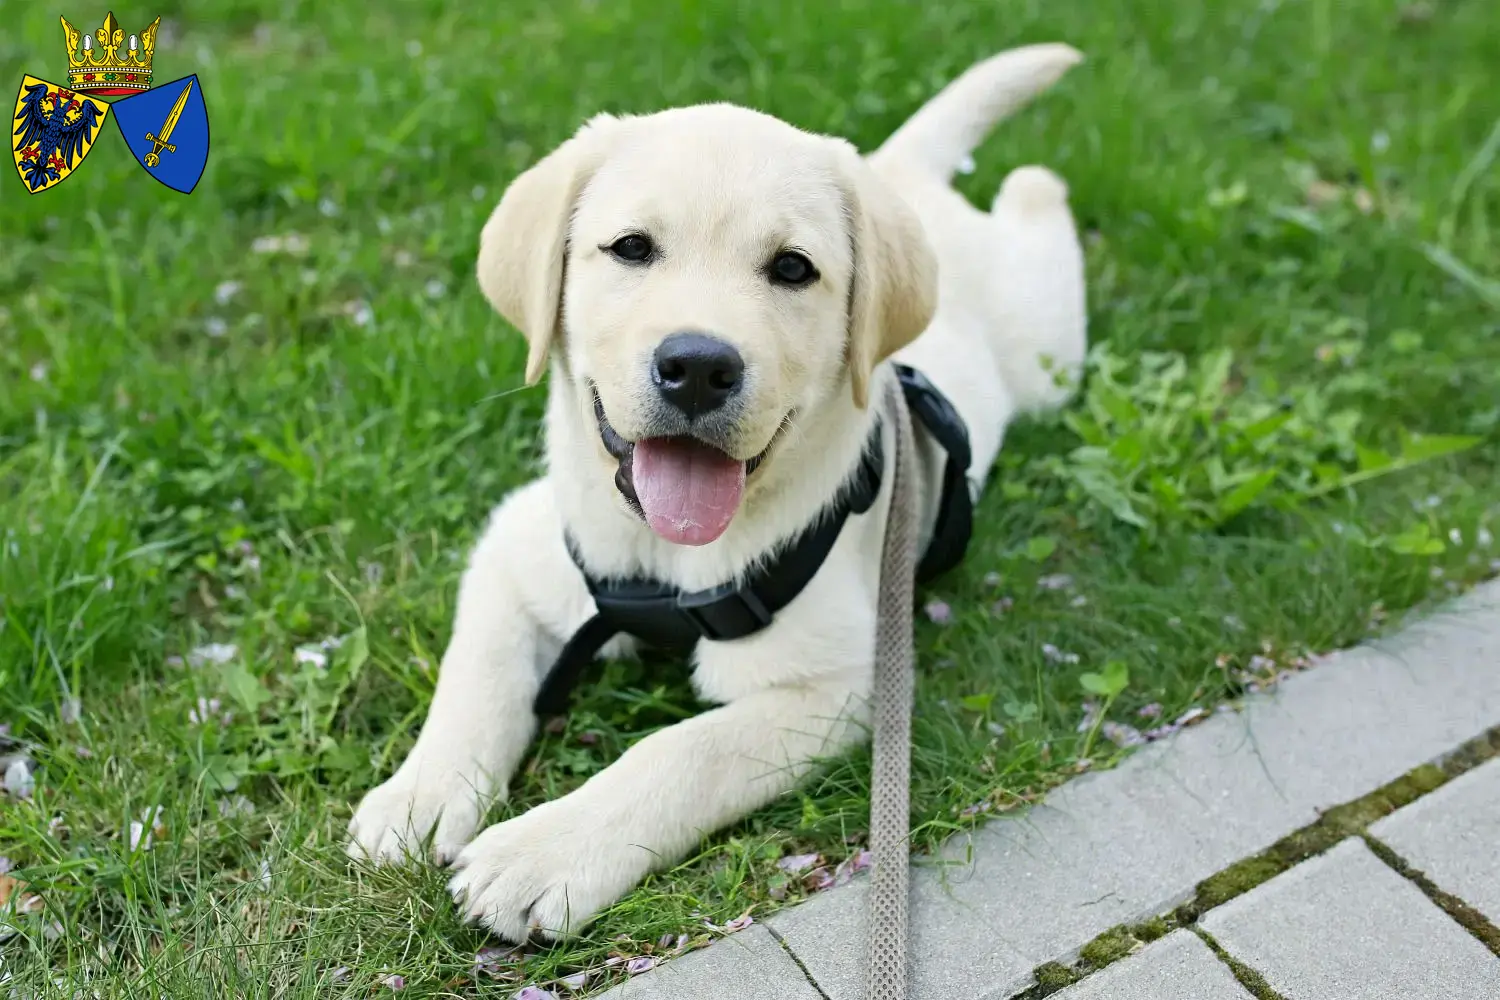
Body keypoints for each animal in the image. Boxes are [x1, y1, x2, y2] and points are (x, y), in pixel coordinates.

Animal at [351, 43, 1092, 941]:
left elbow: (681, 752)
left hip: (1048, 351)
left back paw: (1035, 183)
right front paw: (420, 796)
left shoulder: (835, 685)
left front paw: (544, 852)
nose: (699, 366)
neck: (664, 554)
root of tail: (898, 175)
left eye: (793, 269)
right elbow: (476, 676)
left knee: (1042, 221)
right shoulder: (515, 547)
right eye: (631, 248)